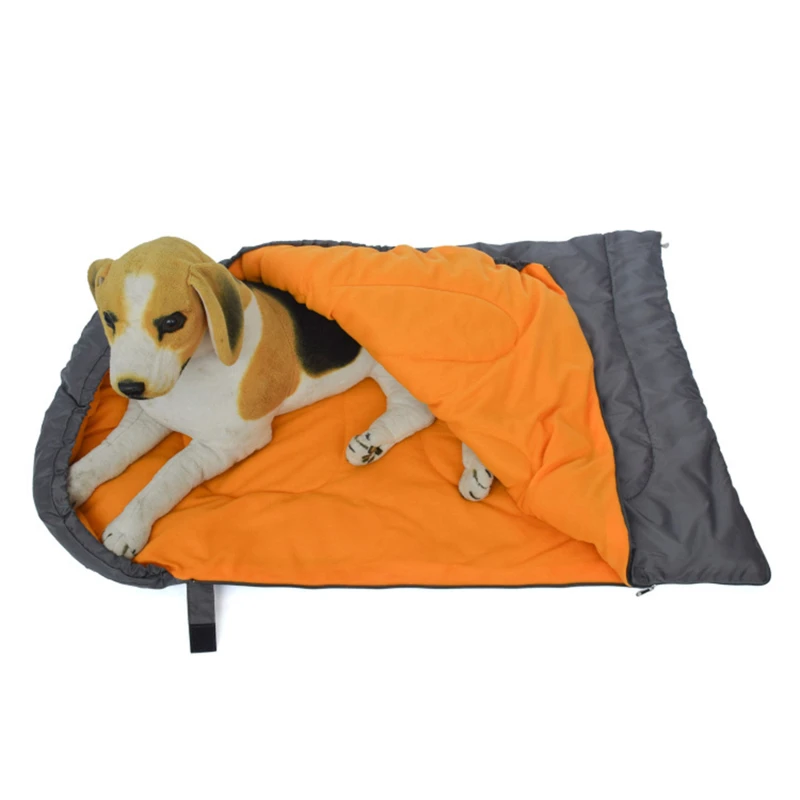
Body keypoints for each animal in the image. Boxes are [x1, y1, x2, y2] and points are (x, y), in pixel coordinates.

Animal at [68, 237, 496, 558]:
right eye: (108, 319)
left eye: (173, 321)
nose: (128, 387)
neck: (193, 369)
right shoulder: (148, 416)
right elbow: (109, 453)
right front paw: (71, 481)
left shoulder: (227, 444)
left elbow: (167, 474)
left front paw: (129, 527)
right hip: (387, 373)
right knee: (416, 412)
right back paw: (372, 443)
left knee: (465, 419)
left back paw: (477, 472)